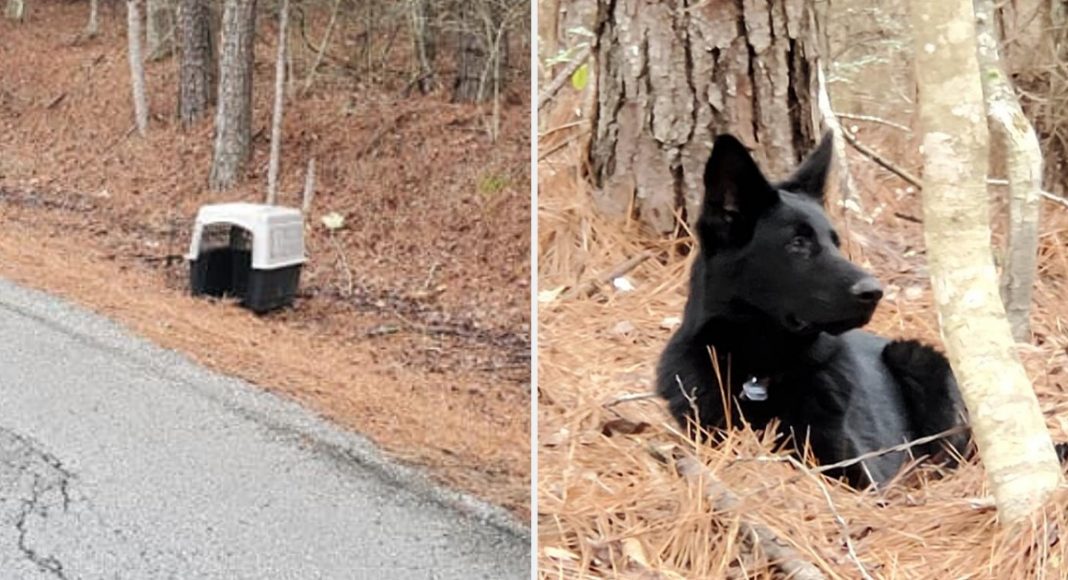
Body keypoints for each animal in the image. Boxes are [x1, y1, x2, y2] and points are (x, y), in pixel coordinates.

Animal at [653, 134, 974, 487]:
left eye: (835, 242)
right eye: (798, 243)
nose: (875, 292)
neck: (758, 373)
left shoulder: (862, 472)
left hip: (915, 358)